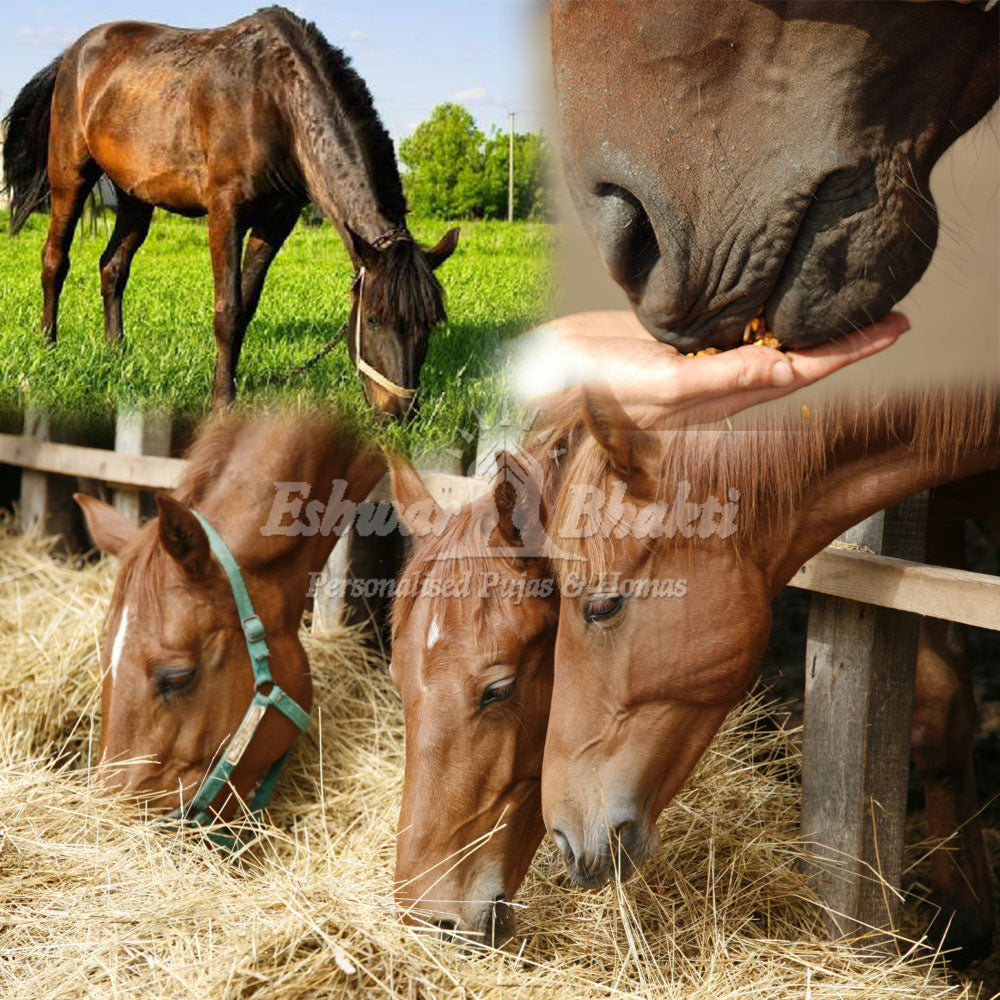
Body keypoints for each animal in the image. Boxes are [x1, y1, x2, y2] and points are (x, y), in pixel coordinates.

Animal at [0, 5, 458, 412]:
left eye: (430, 324)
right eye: (374, 319)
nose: (400, 413)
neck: (275, 99)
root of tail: (73, 54)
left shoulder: (278, 219)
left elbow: (247, 305)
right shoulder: (226, 212)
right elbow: (228, 309)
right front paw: (222, 400)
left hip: (136, 198)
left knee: (113, 267)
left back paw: (116, 351)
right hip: (69, 178)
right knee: (54, 260)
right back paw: (49, 344)